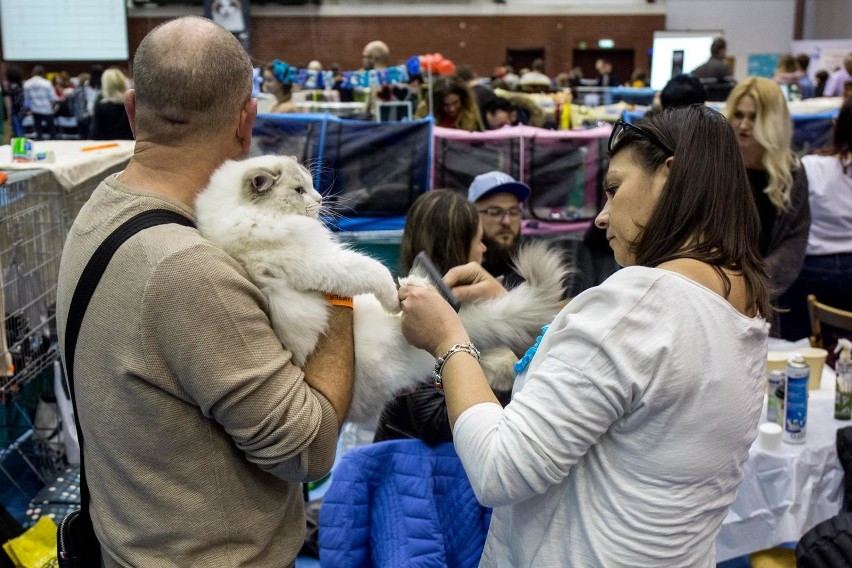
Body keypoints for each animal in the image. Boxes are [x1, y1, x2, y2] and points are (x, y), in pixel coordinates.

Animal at [196, 156, 568, 426]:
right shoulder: (318, 260)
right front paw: (395, 297)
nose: (319, 199)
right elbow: (372, 270)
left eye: (310, 186)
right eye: (299, 190)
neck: (241, 215)